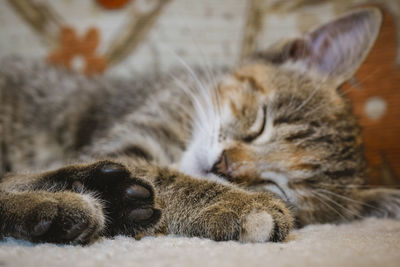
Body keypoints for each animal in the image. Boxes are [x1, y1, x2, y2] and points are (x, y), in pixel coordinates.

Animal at [0, 6, 400, 245]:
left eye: (277, 185)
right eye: (260, 122)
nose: (224, 167)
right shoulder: (122, 144)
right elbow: (163, 176)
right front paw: (239, 204)